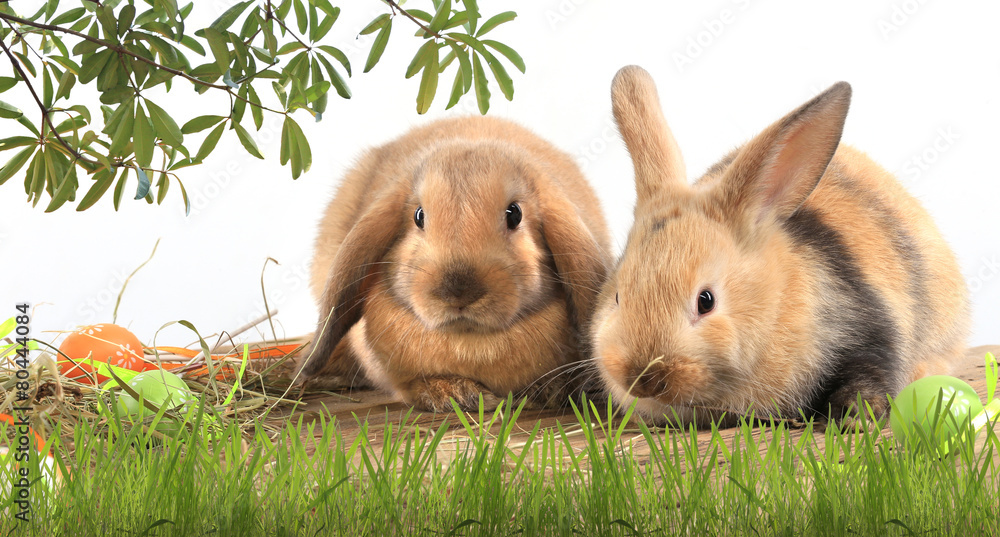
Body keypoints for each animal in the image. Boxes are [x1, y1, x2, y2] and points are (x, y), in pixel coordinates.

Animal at [295, 116, 612, 412]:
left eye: (515, 214)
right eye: (419, 216)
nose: (458, 292)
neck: (469, 340)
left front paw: (549, 390)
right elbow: (412, 386)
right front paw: (454, 393)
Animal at [592, 66, 970, 427]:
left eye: (706, 301)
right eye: (617, 297)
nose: (643, 378)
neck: (776, 303)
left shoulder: (871, 334)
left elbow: (869, 374)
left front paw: (855, 417)